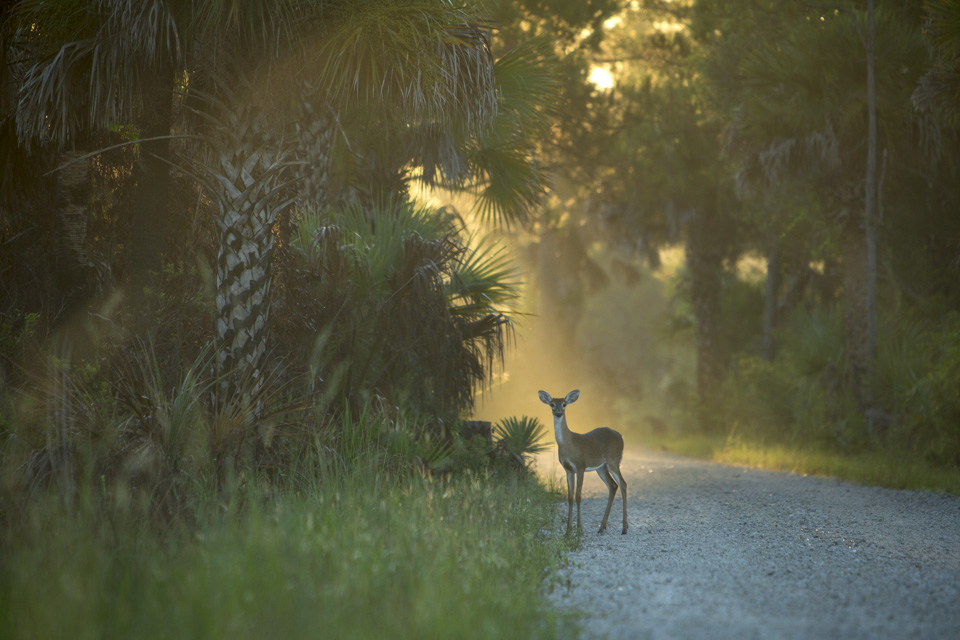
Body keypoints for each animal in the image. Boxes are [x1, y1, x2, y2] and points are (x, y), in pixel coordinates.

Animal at [538, 389, 628, 536]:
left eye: (564, 404)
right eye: (552, 404)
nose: (559, 413)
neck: (568, 444)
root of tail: (621, 436)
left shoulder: (581, 465)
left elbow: (578, 496)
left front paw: (579, 529)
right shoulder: (568, 469)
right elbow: (570, 497)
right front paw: (568, 531)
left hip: (613, 460)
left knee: (623, 484)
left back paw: (624, 528)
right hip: (601, 467)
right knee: (613, 485)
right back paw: (601, 527)